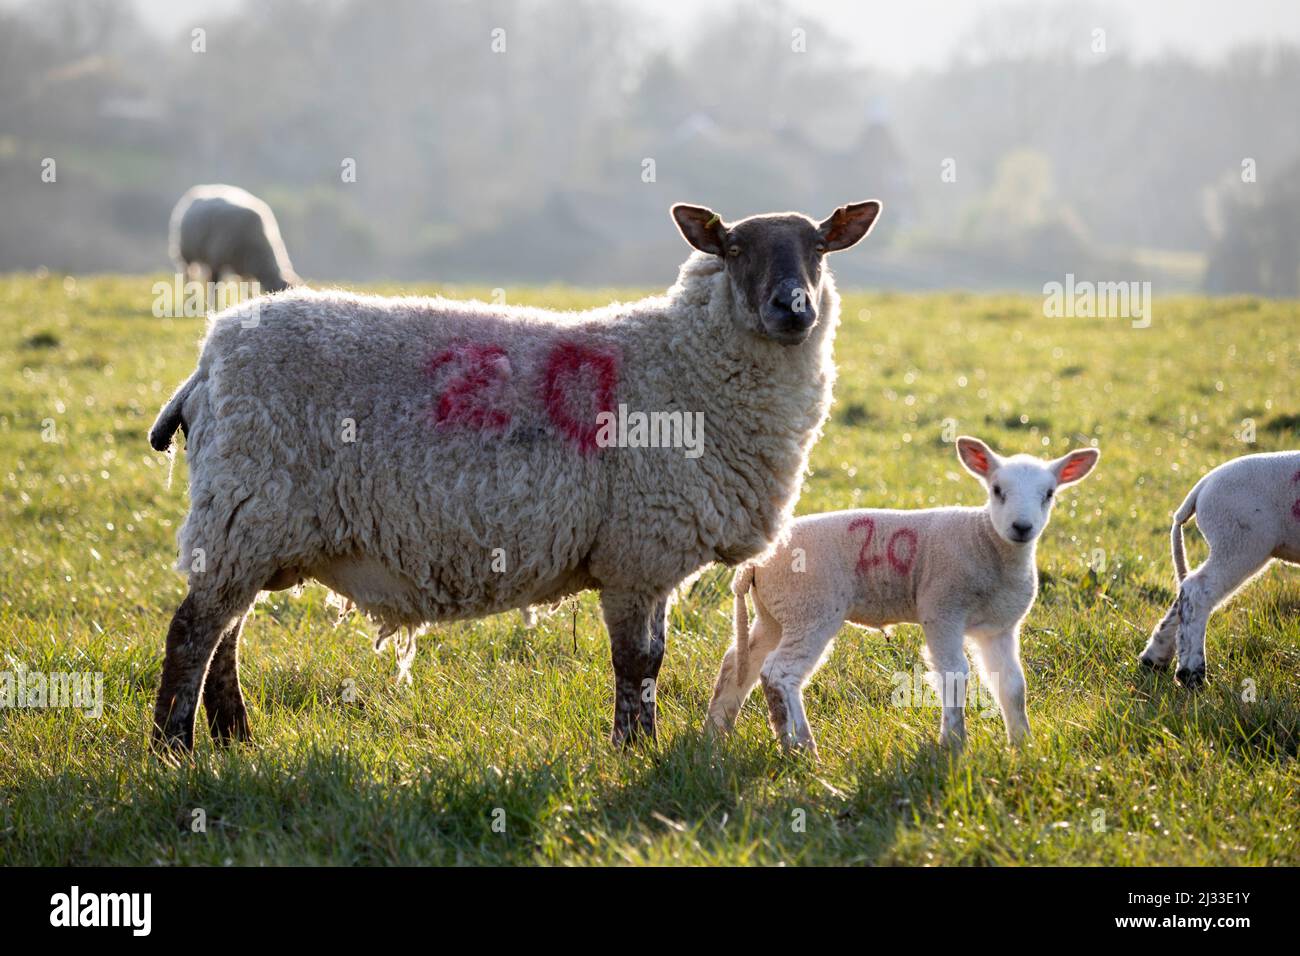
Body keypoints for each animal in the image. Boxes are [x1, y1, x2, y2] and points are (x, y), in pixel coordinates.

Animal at [144, 197, 883, 749]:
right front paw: (633, 749)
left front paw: (639, 745)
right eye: (732, 249)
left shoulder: (649, 557)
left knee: (226, 636)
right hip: (245, 509)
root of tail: (209, 359)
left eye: (818, 248)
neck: (684, 361)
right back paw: (175, 748)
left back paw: (236, 738)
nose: (793, 308)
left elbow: (653, 659)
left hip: (254, 525)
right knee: (193, 634)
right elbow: (637, 662)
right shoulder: (635, 552)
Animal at [166, 184, 297, 295]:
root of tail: (200, 188)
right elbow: (214, 288)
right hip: (186, 254)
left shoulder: (244, 269)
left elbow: (247, 292)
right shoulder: (216, 261)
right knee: (188, 277)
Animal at [712, 437, 1097, 759]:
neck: (985, 540)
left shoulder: (998, 628)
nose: (1021, 527)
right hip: (810, 608)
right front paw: (953, 744)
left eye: (1049, 494)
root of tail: (753, 565)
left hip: (776, 613)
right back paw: (802, 748)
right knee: (779, 673)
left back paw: (716, 733)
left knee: (740, 663)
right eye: (997, 490)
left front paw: (1023, 746)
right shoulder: (941, 609)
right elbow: (955, 674)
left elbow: (1013, 686)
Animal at [1138, 450, 1300, 686]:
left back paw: (1154, 658)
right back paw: (1192, 675)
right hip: (1240, 539)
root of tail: (1202, 486)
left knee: (1184, 592)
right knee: (1198, 590)